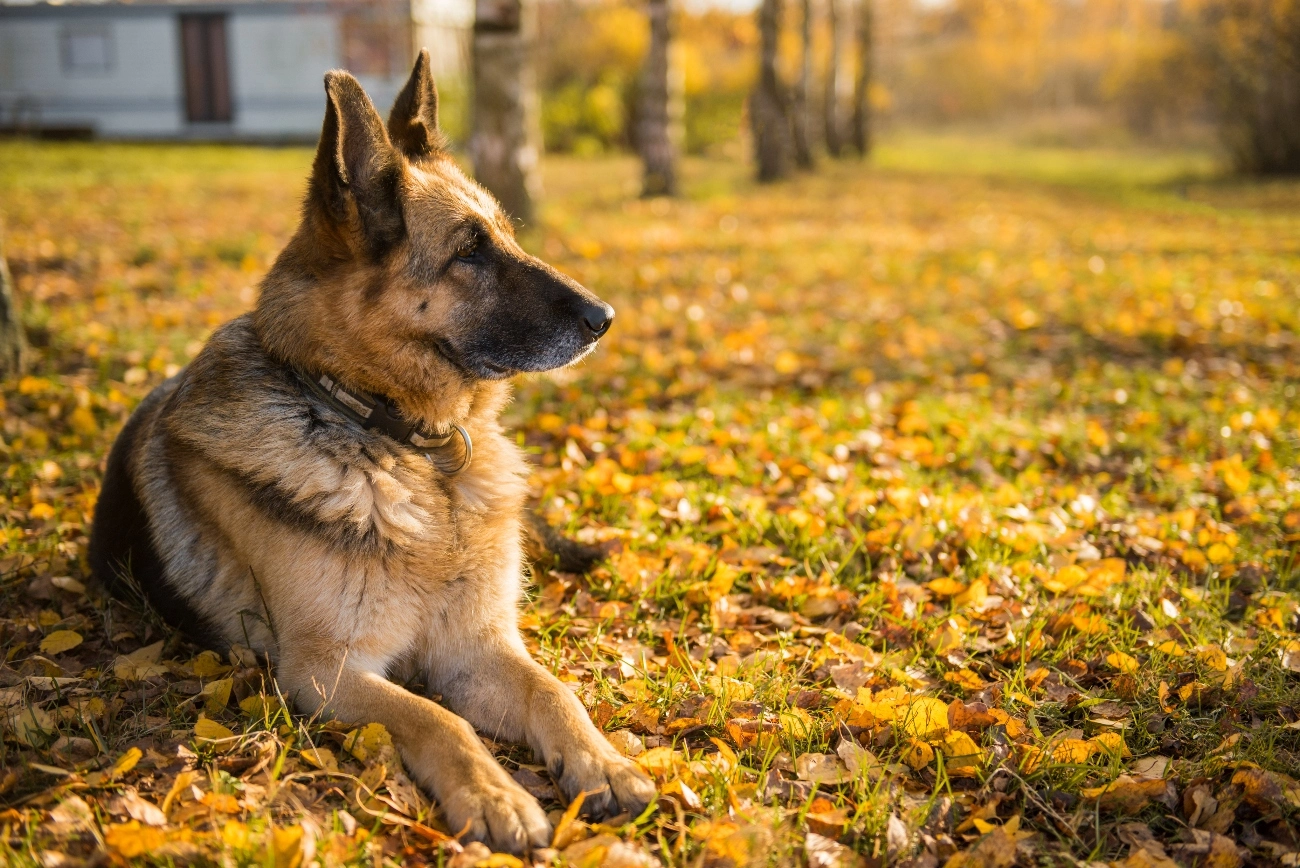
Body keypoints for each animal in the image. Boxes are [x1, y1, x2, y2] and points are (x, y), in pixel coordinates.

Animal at [90, 51, 655, 852]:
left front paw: (605, 764)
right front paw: (497, 796)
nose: (604, 317)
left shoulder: (477, 645)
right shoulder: (327, 671)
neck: (404, 448)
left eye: (507, 236)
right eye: (468, 252)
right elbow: (437, 718)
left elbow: (554, 693)